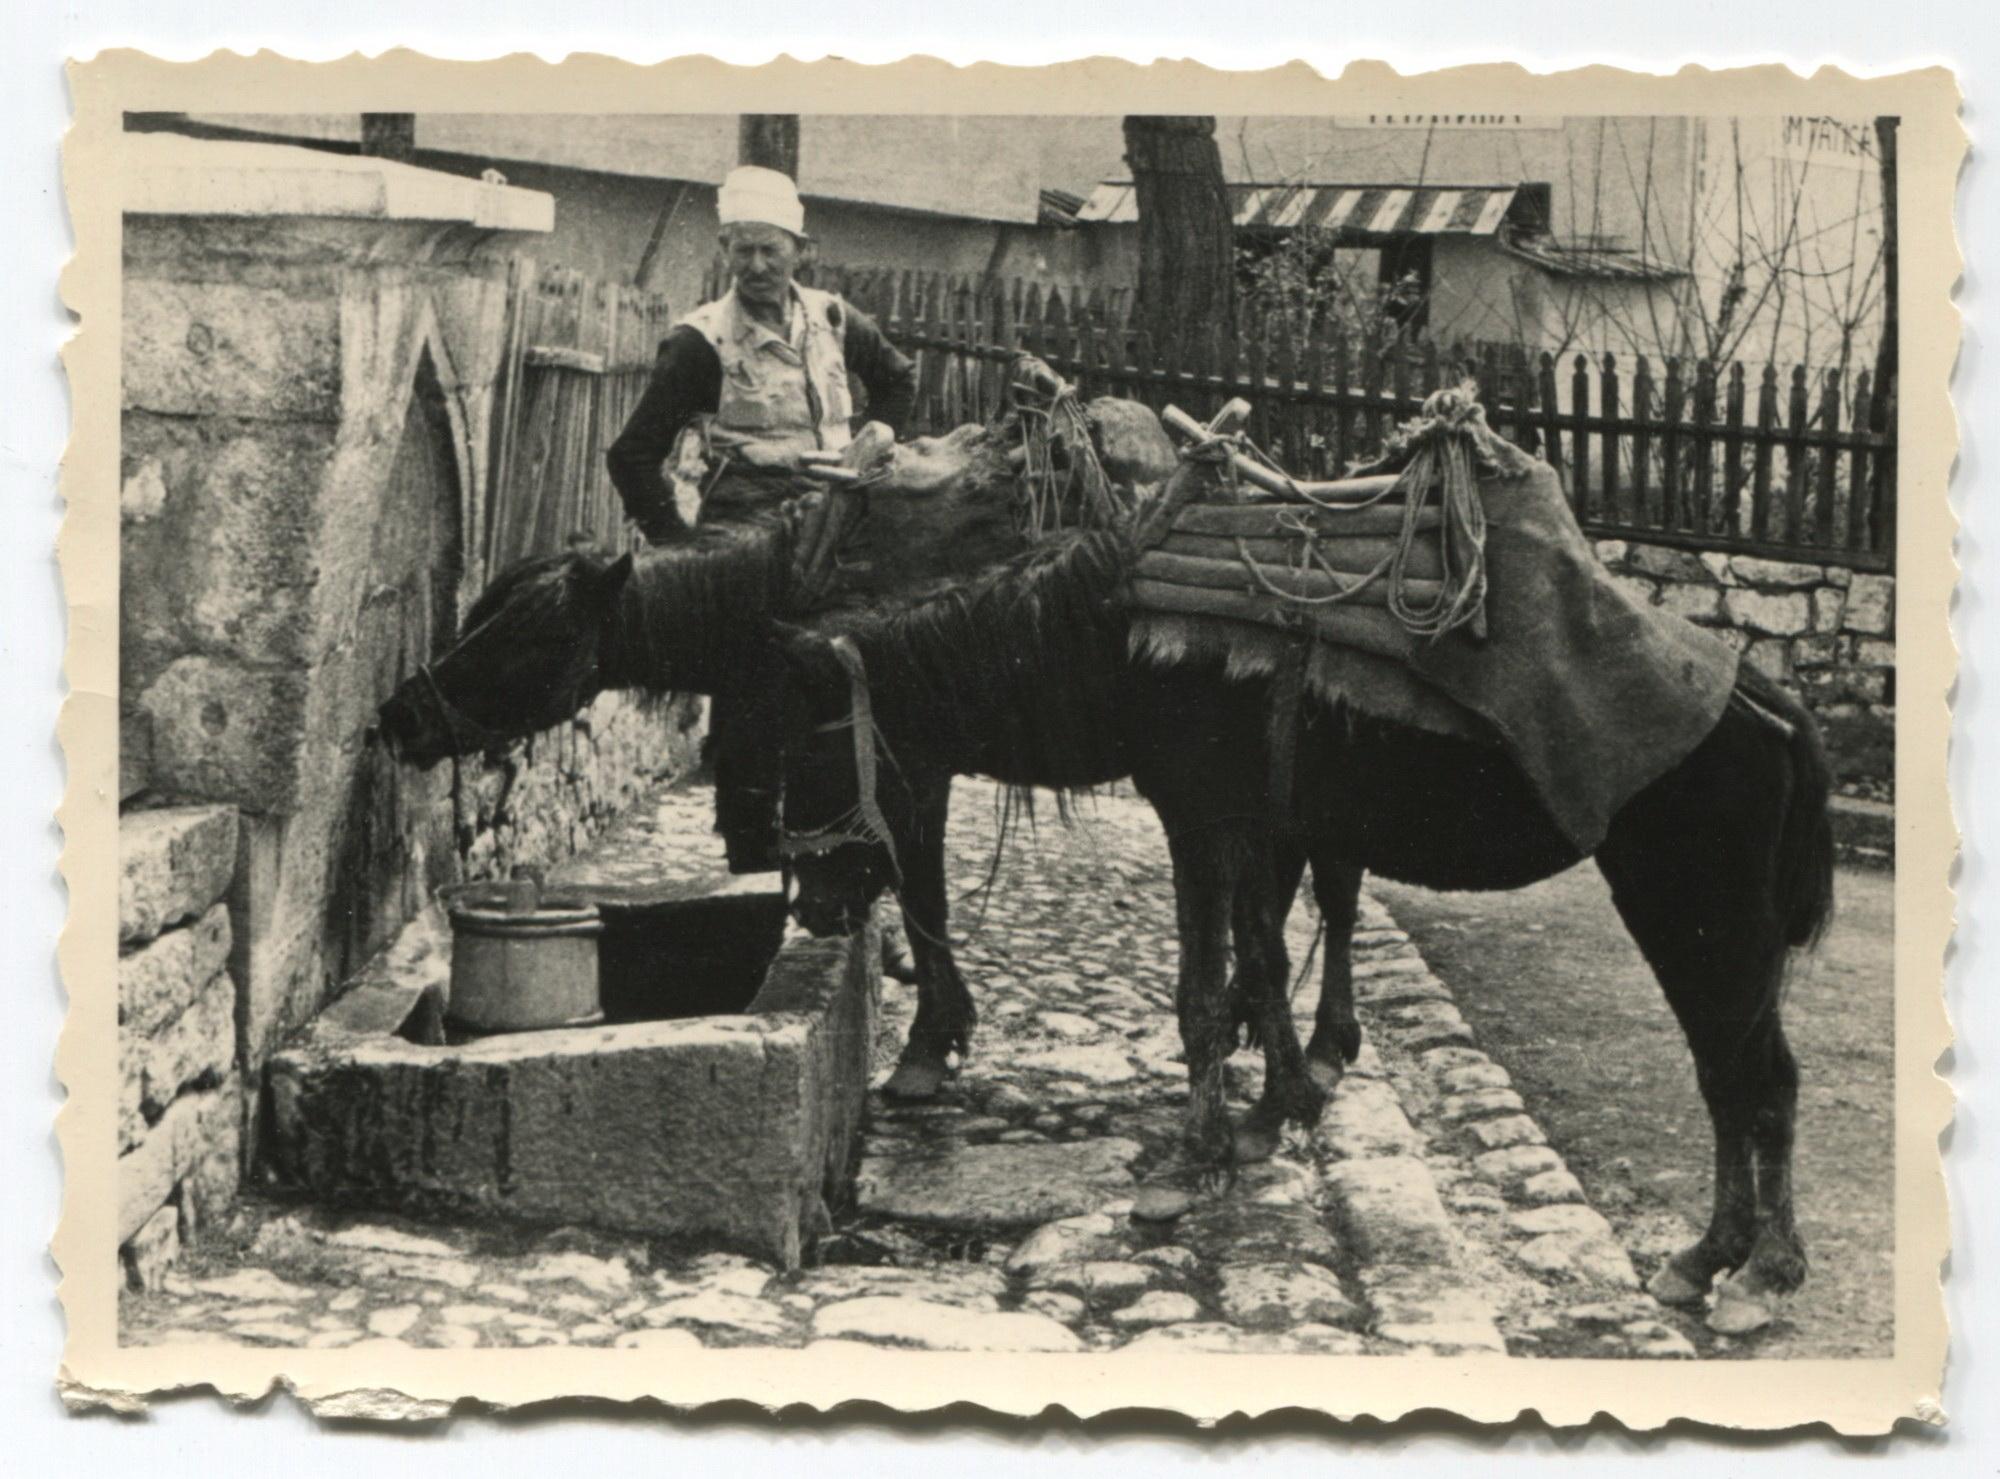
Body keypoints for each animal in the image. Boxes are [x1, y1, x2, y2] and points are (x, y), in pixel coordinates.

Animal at [772, 515, 1832, 1335]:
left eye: (813, 754)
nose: (813, 907)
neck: (1129, 642)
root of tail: (1766, 702)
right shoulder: (1262, 831)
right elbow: (1265, 965)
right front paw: (1274, 1108)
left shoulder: (1202, 825)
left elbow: (1206, 993)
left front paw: (1194, 1157)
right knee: (1738, 1078)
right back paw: (1715, 1258)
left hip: (1699, 916)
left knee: (1756, 1079)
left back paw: (1757, 1271)